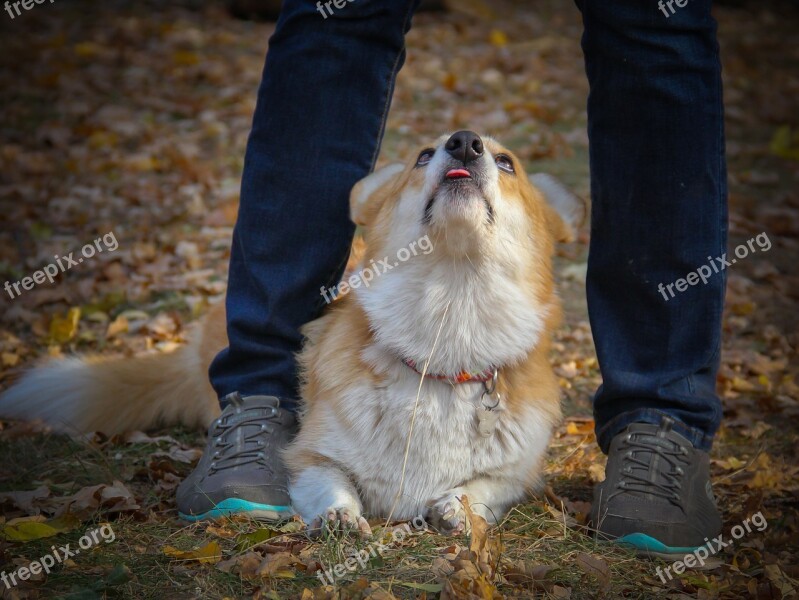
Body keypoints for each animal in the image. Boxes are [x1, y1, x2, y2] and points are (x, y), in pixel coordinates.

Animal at [0, 130, 580, 528]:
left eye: (506, 162)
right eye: (422, 155)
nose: (464, 143)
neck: (447, 322)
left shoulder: (516, 476)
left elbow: (483, 487)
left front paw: (457, 507)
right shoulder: (309, 457)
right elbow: (330, 481)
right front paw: (340, 517)